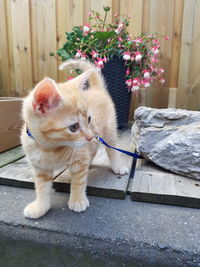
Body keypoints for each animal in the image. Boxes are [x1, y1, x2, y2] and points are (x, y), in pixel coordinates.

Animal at [20, 59, 128, 219]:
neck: (49, 147)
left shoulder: (80, 157)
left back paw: (117, 166)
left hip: (108, 130)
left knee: (112, 149)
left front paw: (78, 200)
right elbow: (41, 187)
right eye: (74, 127)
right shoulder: (40, 168)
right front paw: (40, 206)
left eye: (89, 119)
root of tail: (97, 89)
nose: (90, 136)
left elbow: (78, 181)